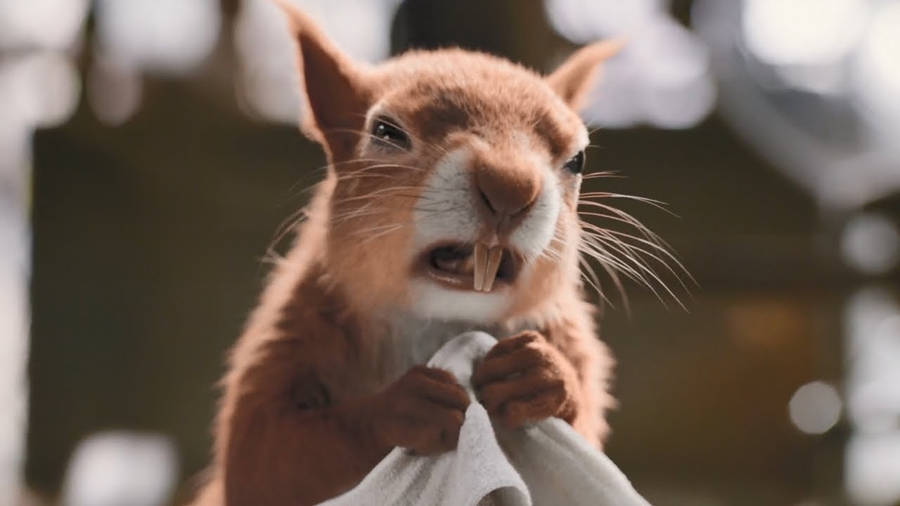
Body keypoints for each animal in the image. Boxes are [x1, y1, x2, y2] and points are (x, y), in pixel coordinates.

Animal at [191, 2, 626, 505]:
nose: (511, 187)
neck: (441, 320)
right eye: (385, 131)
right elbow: (265, 459)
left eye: (577, 160)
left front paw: (543, 375)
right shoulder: (290, 331)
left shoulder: (571, 340)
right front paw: (406, 407)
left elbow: (586, 437)